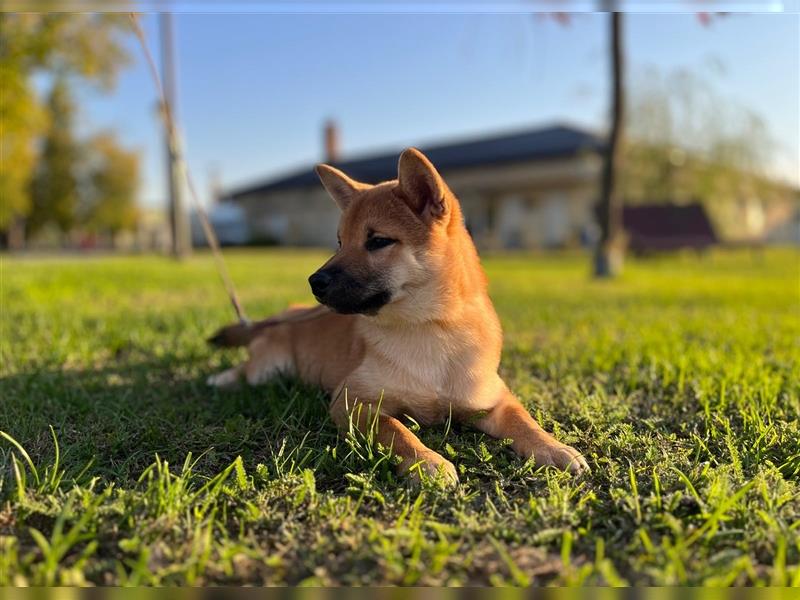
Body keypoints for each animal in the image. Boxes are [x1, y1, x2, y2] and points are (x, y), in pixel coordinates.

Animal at [209, 149, 592, 482]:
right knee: (246, 370)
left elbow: (524, 421)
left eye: (378, 241)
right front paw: (426, 461)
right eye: (340, 242)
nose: (314, 282)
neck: (430, 329)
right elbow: (396, 430)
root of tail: (291, 311)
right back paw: (220, 380)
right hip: (268, 369)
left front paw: (553, 447)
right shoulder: (354, 401)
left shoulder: (493, 400)